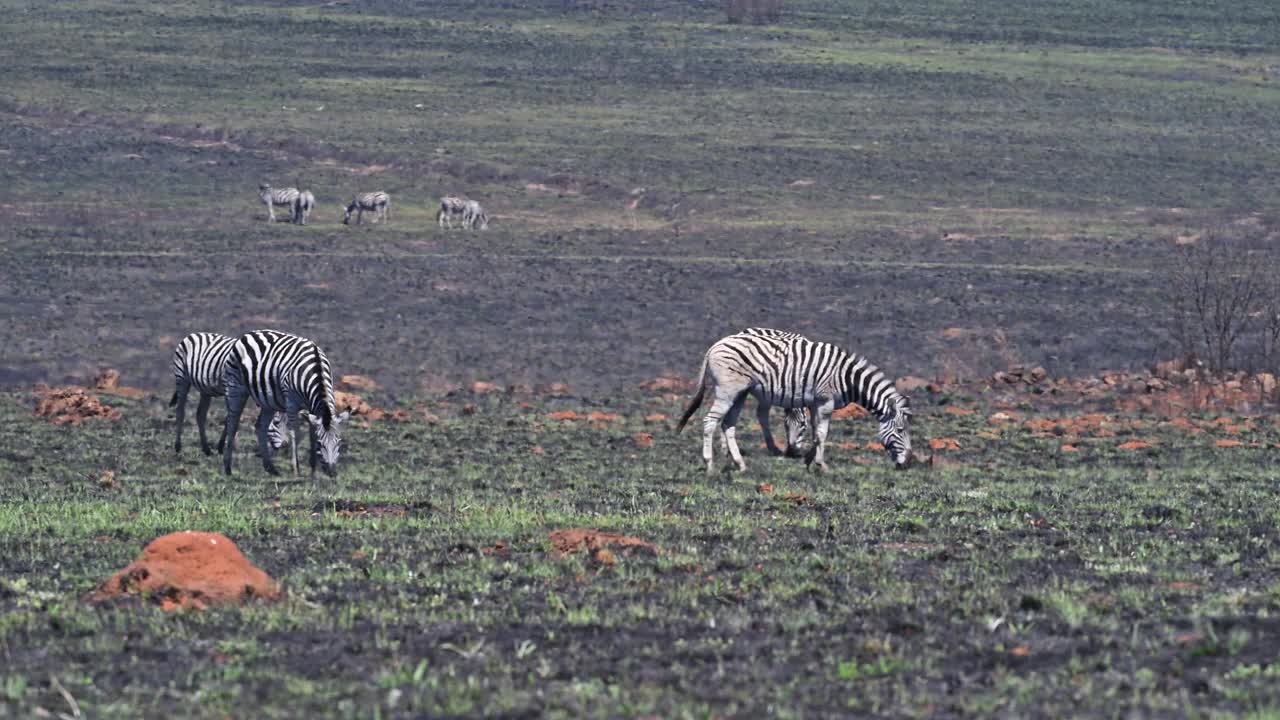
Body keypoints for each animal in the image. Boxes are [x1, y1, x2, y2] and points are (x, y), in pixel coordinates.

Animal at [220, 326, 350, 474]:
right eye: (320, 444)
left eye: (339, 443)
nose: (331, 472)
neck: (317, 370)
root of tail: (248, 334)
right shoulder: (291, 404)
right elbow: (295, 433)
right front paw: (296, 468)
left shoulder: (312, 408)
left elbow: (312, 432)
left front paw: (313, 468)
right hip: (235, 387)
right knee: (232, 424)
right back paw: (228, 467)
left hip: (268, 400)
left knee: (261, 427)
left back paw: (270, 467)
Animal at [675, 327, 916, 474]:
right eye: (901, 430)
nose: (907, 463)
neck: (848, 378)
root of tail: (714, 346)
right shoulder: (826, 401)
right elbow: (822, 433)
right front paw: (821, 464)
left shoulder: (815, 402)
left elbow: (815, 431)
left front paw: (809, 459)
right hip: (727, 390)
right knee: (710, 422)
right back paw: (709, 464)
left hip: (741, 392)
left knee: (728, 424)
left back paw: (740, 464)